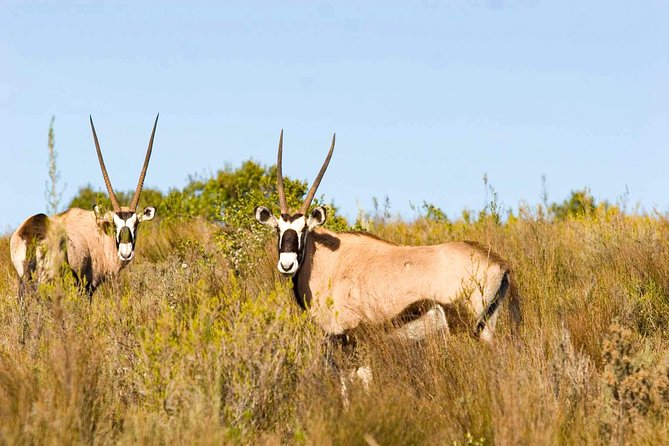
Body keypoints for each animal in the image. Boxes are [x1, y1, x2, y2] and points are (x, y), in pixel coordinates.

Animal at [10, 115, 159, 297]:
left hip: (23, 281)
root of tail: (31, 230)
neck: (99, 232)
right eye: (115, 225)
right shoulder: (87, 286)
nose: (125, 252)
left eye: (136, 224)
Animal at [254, 131, 521, 385]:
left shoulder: (346, 334)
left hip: (466, 328)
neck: (328, 263)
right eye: (278, 229)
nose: (287, 264)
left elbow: (354, 378)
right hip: (486, 327)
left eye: (303, 230)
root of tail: (500, 264)